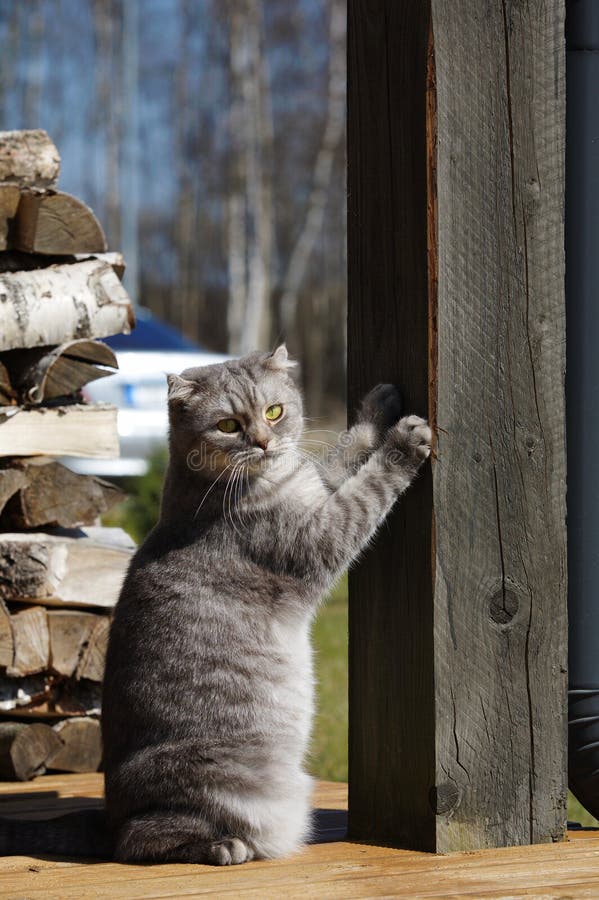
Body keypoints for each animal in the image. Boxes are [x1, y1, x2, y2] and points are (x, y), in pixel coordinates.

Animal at [0, 346, 432, 864]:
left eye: (274, 411)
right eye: (228, 425)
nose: (264, 443)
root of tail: (108, 817)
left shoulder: (317, 484)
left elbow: (344, 451)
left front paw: (377, 406)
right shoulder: (321, 536)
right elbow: (369, 487)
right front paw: (404, 442)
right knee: (137, 841)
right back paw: (222, 846)